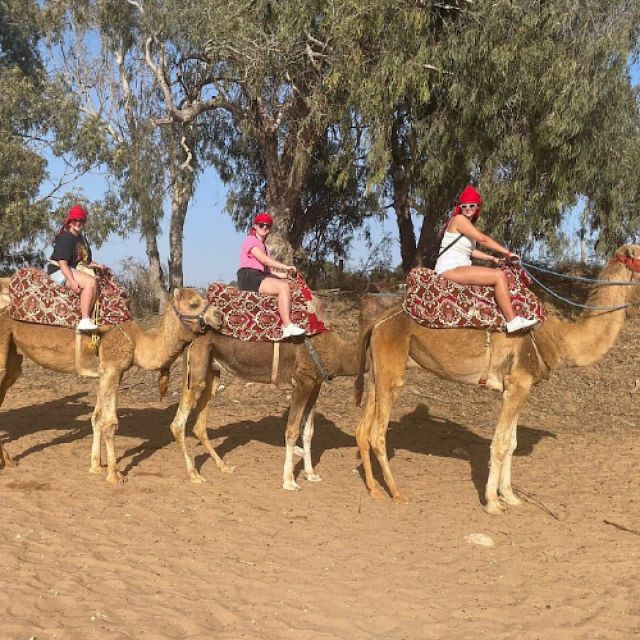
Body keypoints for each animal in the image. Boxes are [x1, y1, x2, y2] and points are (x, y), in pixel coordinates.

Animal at [0, 288, 222, 482]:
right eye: (193, 303)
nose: (219, 315)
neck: (138, 341)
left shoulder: (110, 372)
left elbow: (97, 417)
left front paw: (96, 467)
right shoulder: (112, 369)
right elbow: (110, 422)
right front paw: (114, 475)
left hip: (13, 354)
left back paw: (9, 461)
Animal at [162, 320, 368, 490]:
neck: (337, 352)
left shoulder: (315, 385)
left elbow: (308, 431)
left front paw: (311, 474)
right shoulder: (302, 383)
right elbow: (292, 431)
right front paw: (289, 481)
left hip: (211, 371)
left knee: (199, 424)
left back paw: (224, 466)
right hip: (197, 367)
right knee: (178, 423)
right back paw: (194, 475)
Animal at [352, 245, 640, 516]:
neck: (557, 339)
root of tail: (377, 321)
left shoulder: (517, 387)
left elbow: (512, 444)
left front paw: (510, 497)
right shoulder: (518, 384)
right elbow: (500, 444)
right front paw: (492, 502)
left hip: (377, 372)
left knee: (362, 428)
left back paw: (374, 489)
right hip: (392, 372)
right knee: (378, 432)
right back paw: (397, 492)